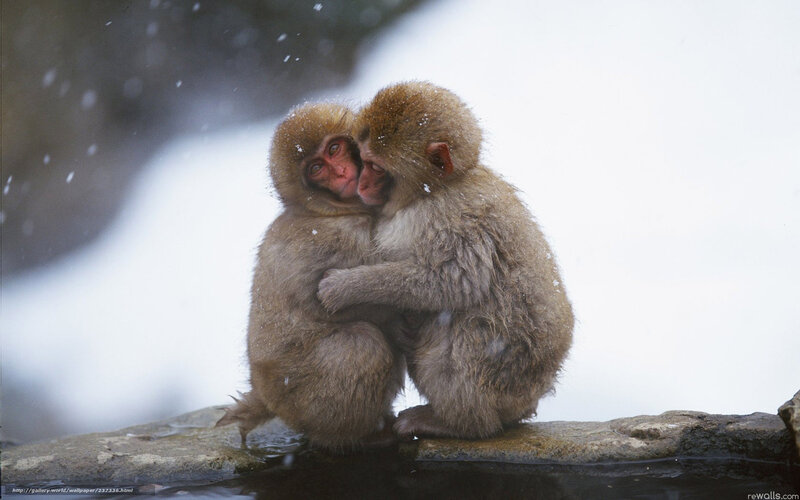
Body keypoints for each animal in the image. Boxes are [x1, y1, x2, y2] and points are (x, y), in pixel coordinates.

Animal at [216, 102, 405, 451]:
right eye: (317, 168)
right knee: (363, 346)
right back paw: (359, 436)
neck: (326, 210)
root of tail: (264, 394)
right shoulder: (341, 238)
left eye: (334, 149)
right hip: (301, 394)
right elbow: (352, 301)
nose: (341, 173)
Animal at [317, 81, 574, 440]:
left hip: (499, 376)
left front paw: (346, 287)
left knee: (461, 330)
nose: (361, 183)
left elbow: (454, 282)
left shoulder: (452, 219)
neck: (435, 190)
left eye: (376, 167)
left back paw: (459, 423)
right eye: (362, 160)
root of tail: (529, 397)